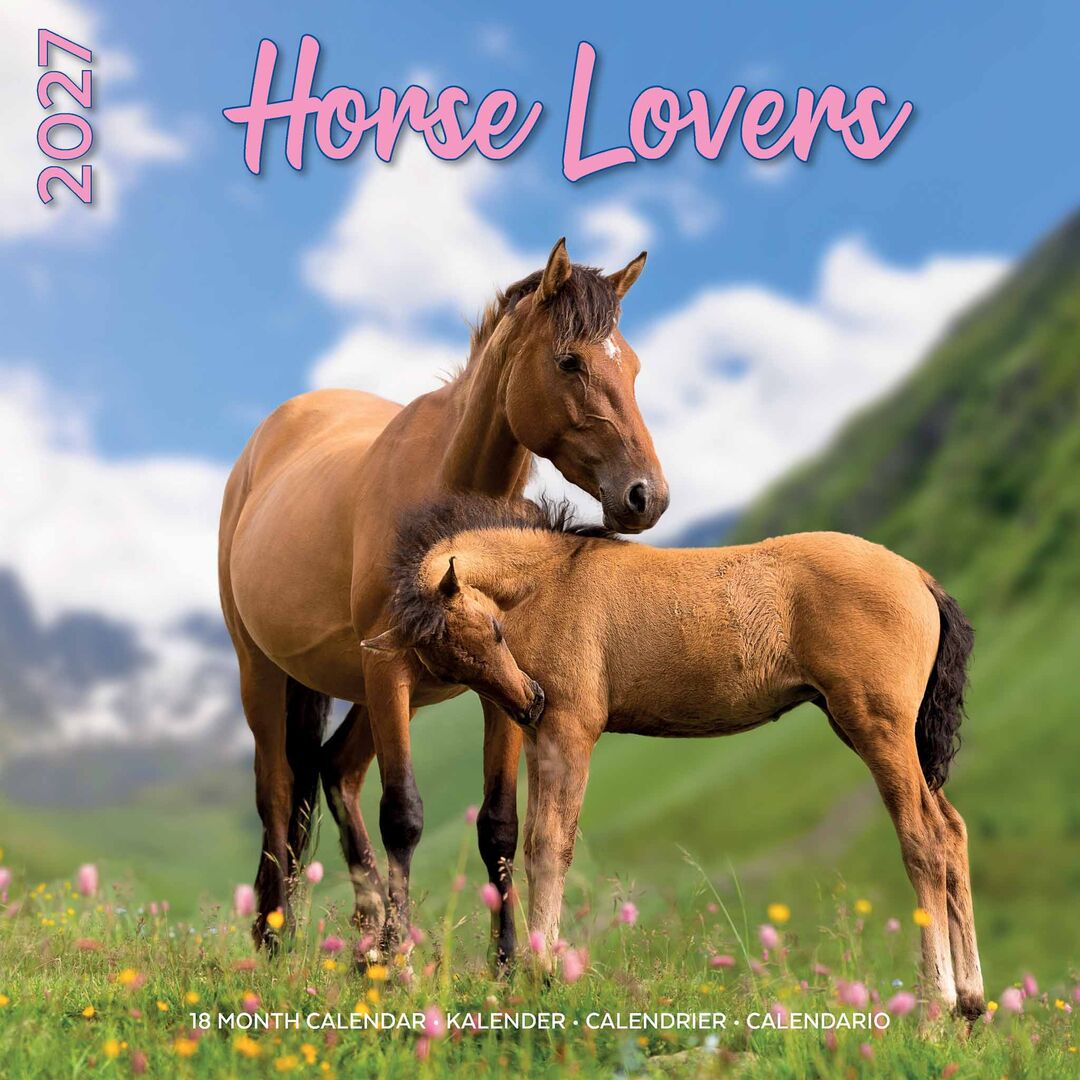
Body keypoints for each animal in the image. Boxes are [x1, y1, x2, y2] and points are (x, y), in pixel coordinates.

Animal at [218, 240, 669, 960]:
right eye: (569, 361)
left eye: (632, 365)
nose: (645, 496)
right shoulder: (388, 671)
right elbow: (403, 814)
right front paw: (400, 958)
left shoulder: (505, 684)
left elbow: (499, 825)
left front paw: (505, 963)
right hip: (263, 671)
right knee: (280, 793)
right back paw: (277, 938)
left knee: (334, 771)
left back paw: (366, 934)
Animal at [362, 493, 985, 1019]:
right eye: (451, 670)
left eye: (493, 630)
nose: (528, 701)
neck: (554, 579)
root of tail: (919, 576)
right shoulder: (544, 738)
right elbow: (537, 840)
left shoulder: (570, 729)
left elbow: (550, 845)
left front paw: (542, 974)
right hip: (868, 729)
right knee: (953, 830)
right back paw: (972, 1006)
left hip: (878, 727)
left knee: (924, 839)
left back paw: (936, 1008)